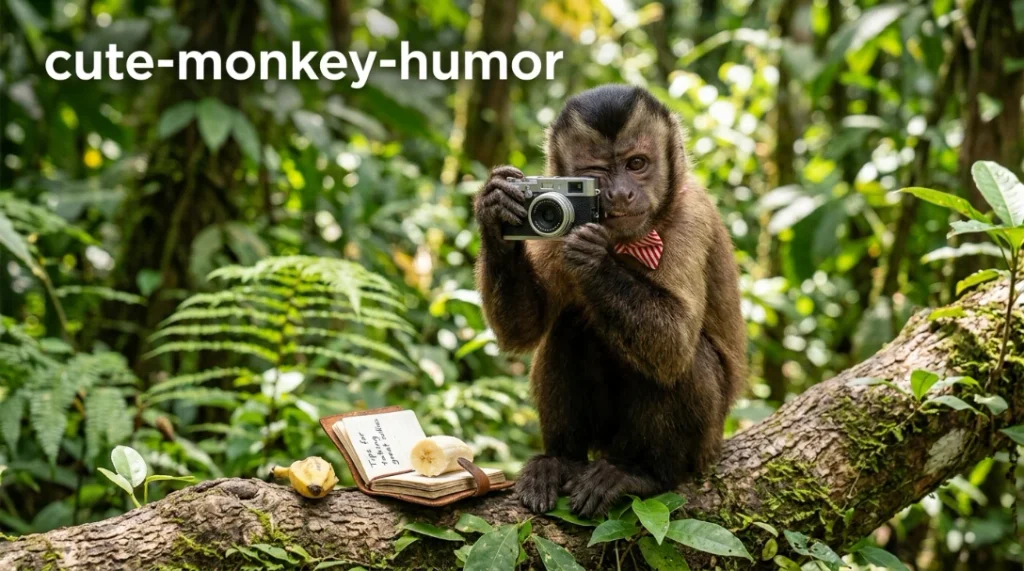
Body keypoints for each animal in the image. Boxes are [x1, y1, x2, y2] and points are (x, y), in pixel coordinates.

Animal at [473, 84, 747, 518]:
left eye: (637, 164)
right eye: (597, 173)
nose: (620, 193)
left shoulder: (693, 218)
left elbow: (673, 344)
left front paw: (593, 258)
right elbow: (523, 330)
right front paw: (495, 209)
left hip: (704, 446)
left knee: (680, 361)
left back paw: (643, 473)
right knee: (570, 326)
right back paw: (561, 461)